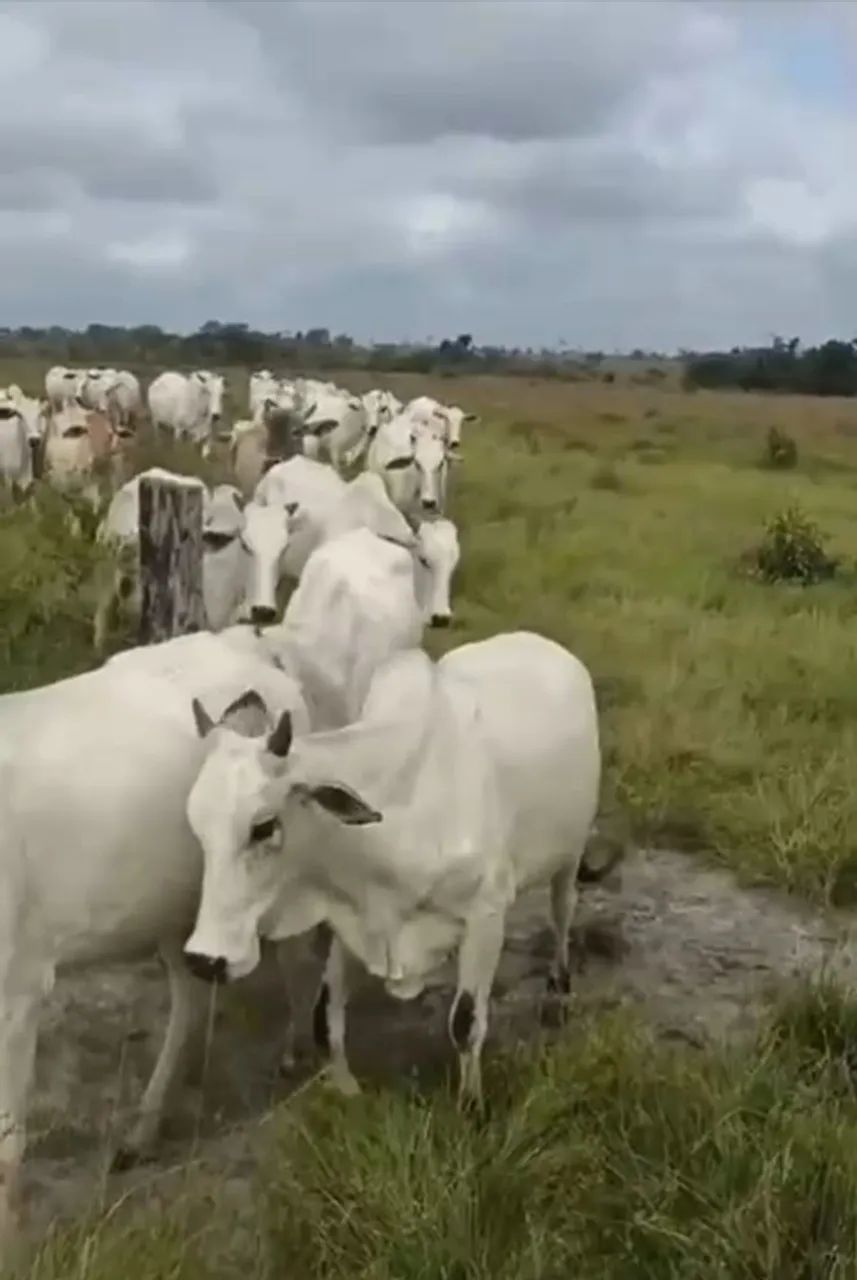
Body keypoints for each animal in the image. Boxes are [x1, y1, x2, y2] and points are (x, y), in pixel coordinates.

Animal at [182, 631, 603, 1107]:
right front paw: (348, 1092)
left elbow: (466, 1024)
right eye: (196, 825)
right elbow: (325, 1020)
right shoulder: (353, 920)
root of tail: (544, 643)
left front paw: (471, 1106)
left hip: (569, 854)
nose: (204, 960)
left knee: (562, 911)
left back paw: (558, 987)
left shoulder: (486, 914)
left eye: (264, 826)